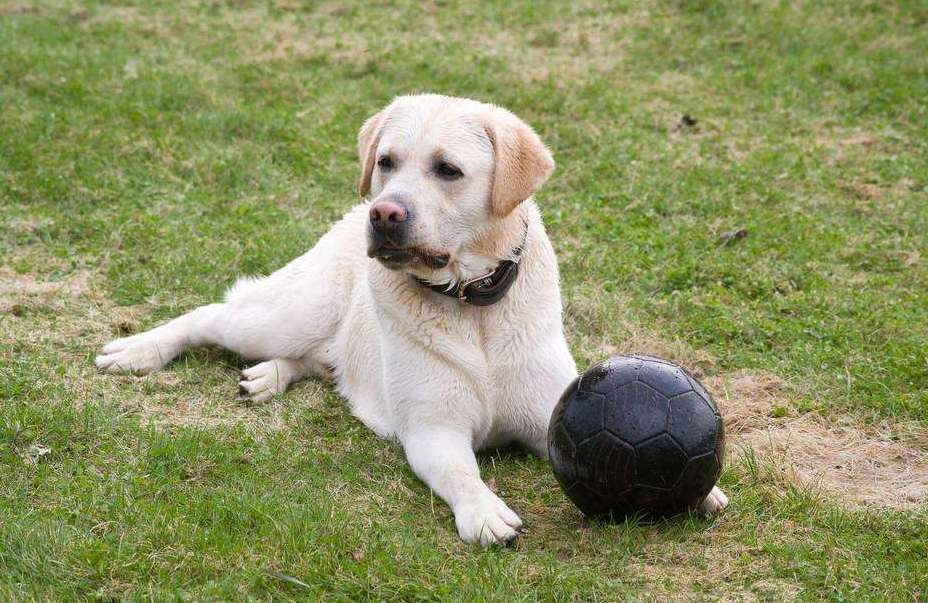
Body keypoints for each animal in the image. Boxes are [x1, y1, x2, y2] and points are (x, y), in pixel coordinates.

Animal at [98, 95, 728, 548]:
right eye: (387, 162)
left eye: (448, 170)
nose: (384, 213)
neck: (473, 304)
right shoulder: (434, 430)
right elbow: (462, 474)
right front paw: (484, 512)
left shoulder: (547, 414)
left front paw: (701, 493)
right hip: (285, 314)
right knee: (214, 313)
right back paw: (140, 351)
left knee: (322, 360)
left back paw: (270, 375)